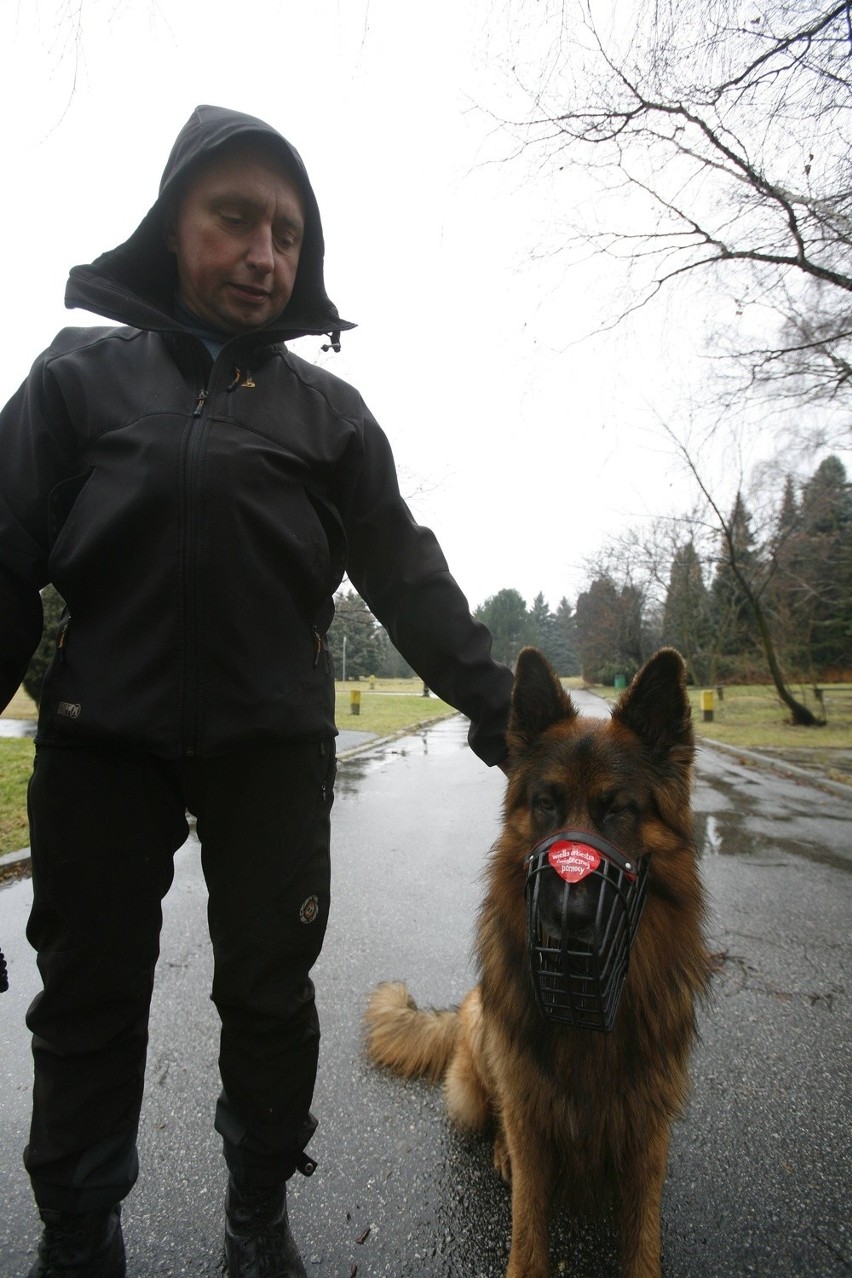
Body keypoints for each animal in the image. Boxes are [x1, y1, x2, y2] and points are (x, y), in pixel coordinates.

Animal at [362, 649, 710, 1278]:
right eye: (547, 804)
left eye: (618, 810)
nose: (565, 917)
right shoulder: (528, 1104)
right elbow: (527, 1222)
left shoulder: (648, 1120)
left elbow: (642, 1233)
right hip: (486, 1033)